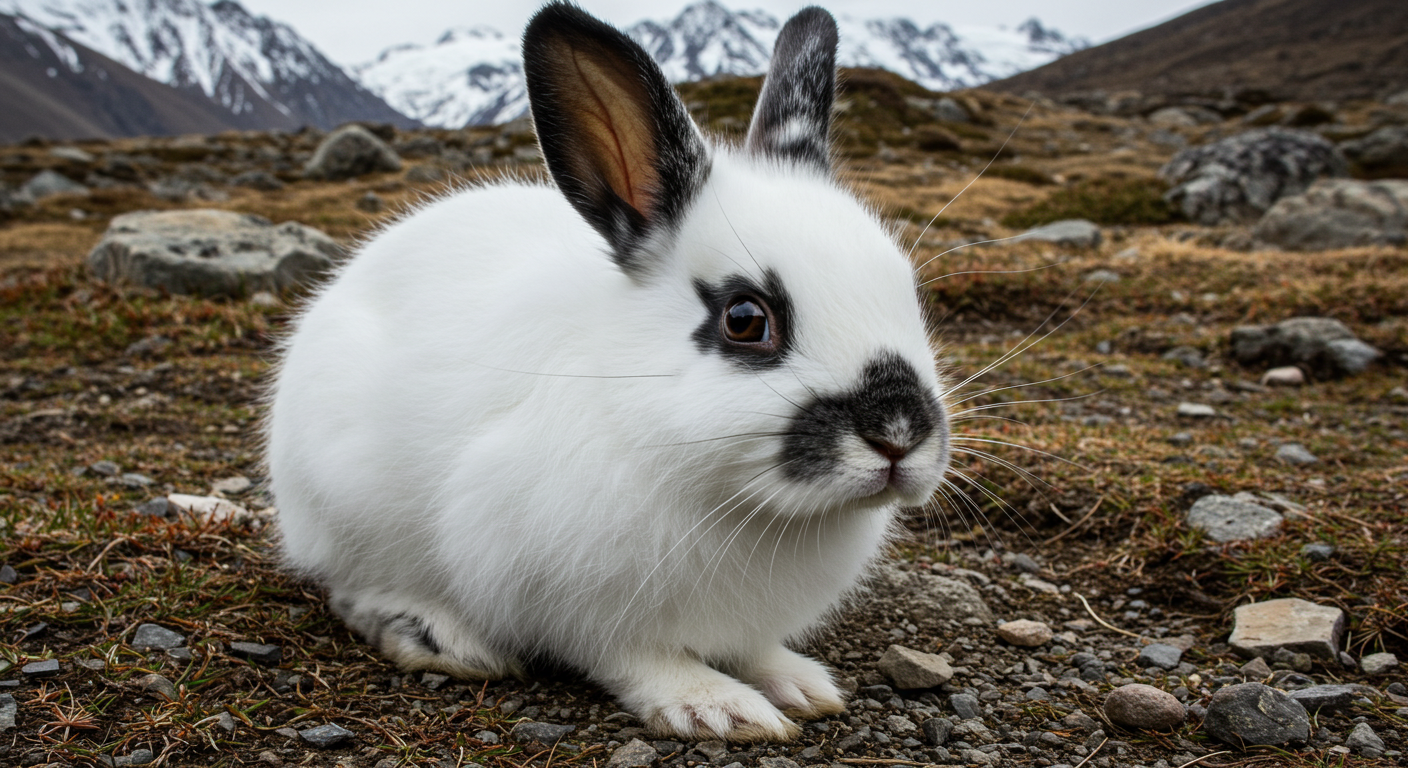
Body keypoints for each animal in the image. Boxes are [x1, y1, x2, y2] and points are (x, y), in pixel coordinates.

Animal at [268, 0, 951, 744]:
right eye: (745, 319)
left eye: (908, 293)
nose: (899, 432)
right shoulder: (568, 597)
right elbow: (634, 657)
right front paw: (718, 706)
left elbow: (755, 650)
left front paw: (799, 684)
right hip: (345, 500)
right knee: (351, 587)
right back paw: (438, 637)